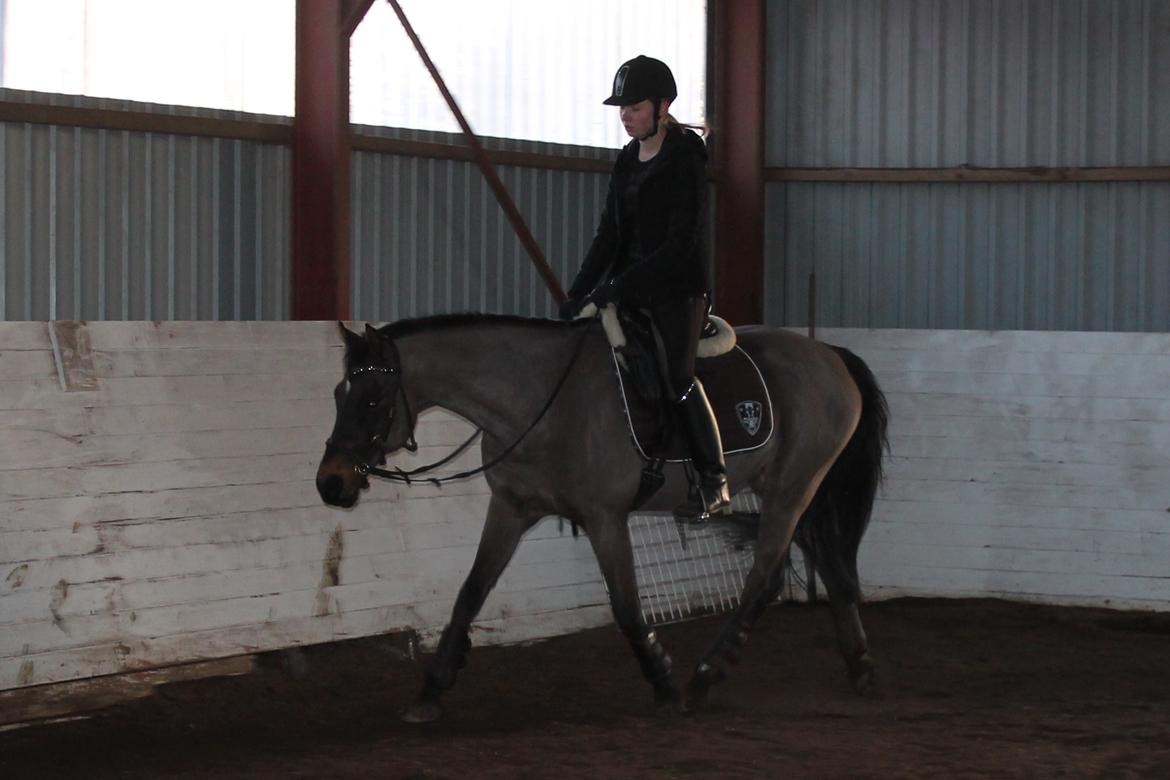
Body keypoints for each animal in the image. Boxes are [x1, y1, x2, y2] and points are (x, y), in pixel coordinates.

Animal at [315, 313, 889, 725]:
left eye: (373, 400)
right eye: (339, 394)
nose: (330, 483)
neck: (541, 404)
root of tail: (829, 355)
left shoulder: (605, 518)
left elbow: (627, 607)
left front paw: (663, 682)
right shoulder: (511, 509)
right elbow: (470, 593)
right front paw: (433, 688)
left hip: (794, 488)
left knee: (764, 579)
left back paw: (705, 677)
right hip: (795, 492)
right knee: (829, 567)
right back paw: (860, 665)